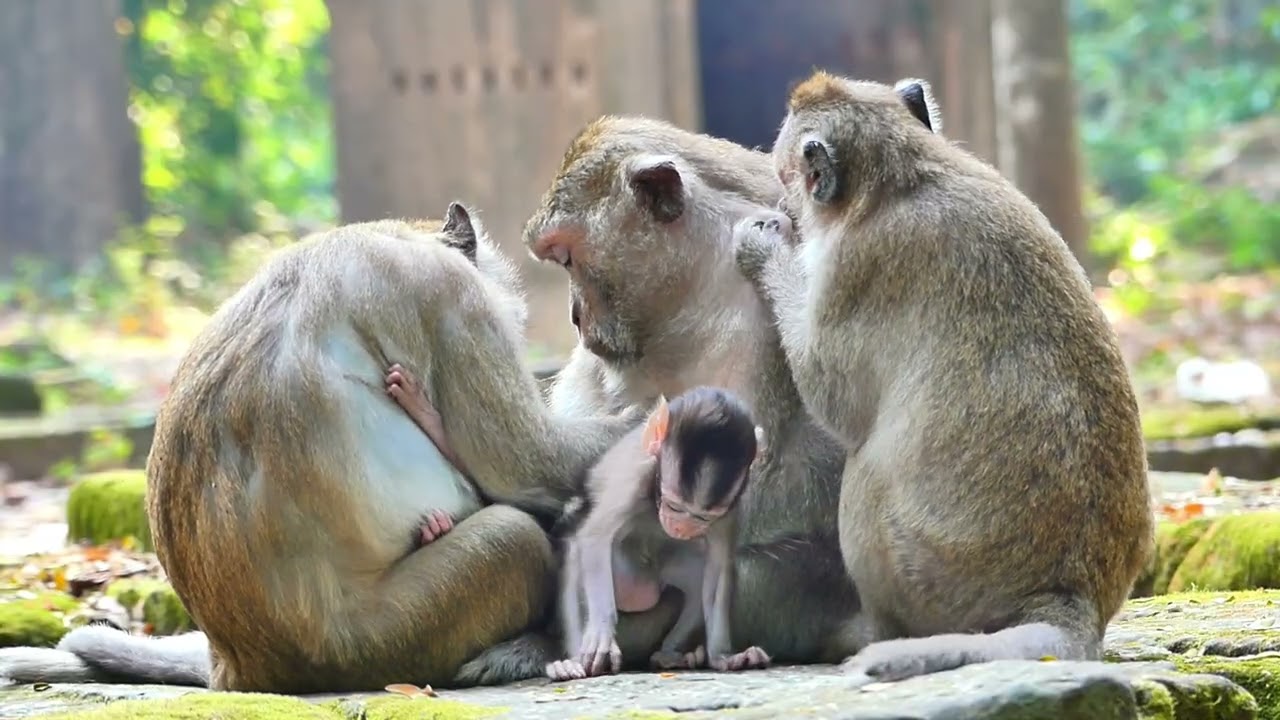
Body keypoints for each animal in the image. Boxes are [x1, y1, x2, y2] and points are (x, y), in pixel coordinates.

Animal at [546, 386, 772, 681]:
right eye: (674, 505)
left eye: (702, 517)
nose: (680, 528)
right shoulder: (633, 479)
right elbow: (594, 537)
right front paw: (602, 632)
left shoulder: (729, 510)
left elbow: (718, 569)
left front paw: (723, 656)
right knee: (576, 558)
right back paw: (570, 662)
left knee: (696, 579)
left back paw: (669, 654)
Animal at [730, 71, 1155, 685]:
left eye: (789, 177)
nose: (786, 201)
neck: (906, 176)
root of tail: (1071, 596)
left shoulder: (856, 265)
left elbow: (831, 394)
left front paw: (766, 246)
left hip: (928, 575)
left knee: (868, 468)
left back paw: (869, 631)